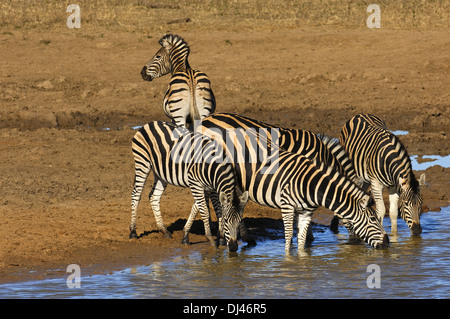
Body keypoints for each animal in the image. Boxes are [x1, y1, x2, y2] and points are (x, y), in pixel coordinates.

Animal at [129, 120, 250, 252]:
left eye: (239, 222)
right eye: (227, 221)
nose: (233, 248)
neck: (212, 167)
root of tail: (150, 123)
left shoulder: (209, 187)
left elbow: (201, 208)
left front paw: (188, 236)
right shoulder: (195, 183)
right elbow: (204, 211)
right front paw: (211, 240)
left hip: (160, 173)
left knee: (154, 197)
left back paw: (164, 231)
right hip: (142, 162)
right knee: (136, 194)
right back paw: (133, 231)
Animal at [189, 121, 386, 254]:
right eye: (373, 220)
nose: (387, 243)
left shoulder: (306, 211)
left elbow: (301, 241)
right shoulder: (287, 206)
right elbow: (289, 236)